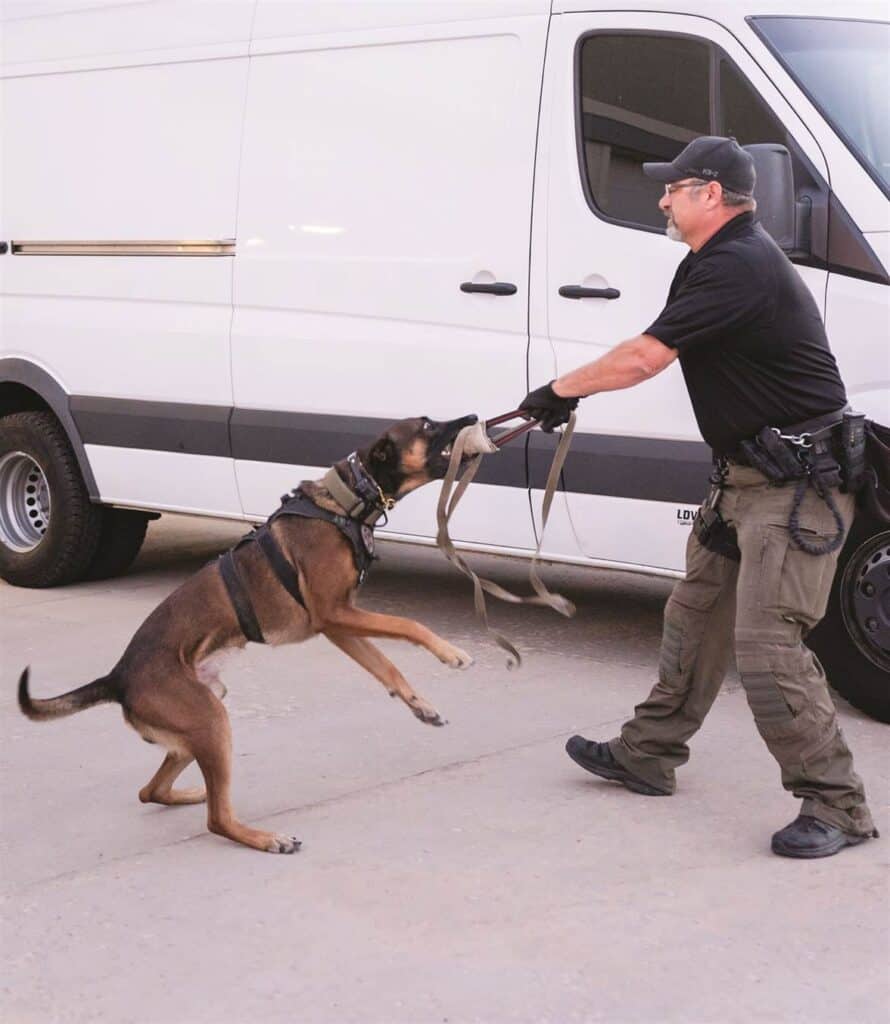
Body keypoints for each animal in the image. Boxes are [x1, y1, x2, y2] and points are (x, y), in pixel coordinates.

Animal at [17, 415, 479, 856]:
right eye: (427, 425)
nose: (473, 416)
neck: (346, 501)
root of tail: (118, 677)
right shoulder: (335, 614)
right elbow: (408, 625)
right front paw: (451, 653)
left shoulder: (337, 623)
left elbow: (385, 666)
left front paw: (421, 705)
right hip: (210, 721)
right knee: (216, 818)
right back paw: (264, 837)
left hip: (200, 720)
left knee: (151, 790)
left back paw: (191, 794)